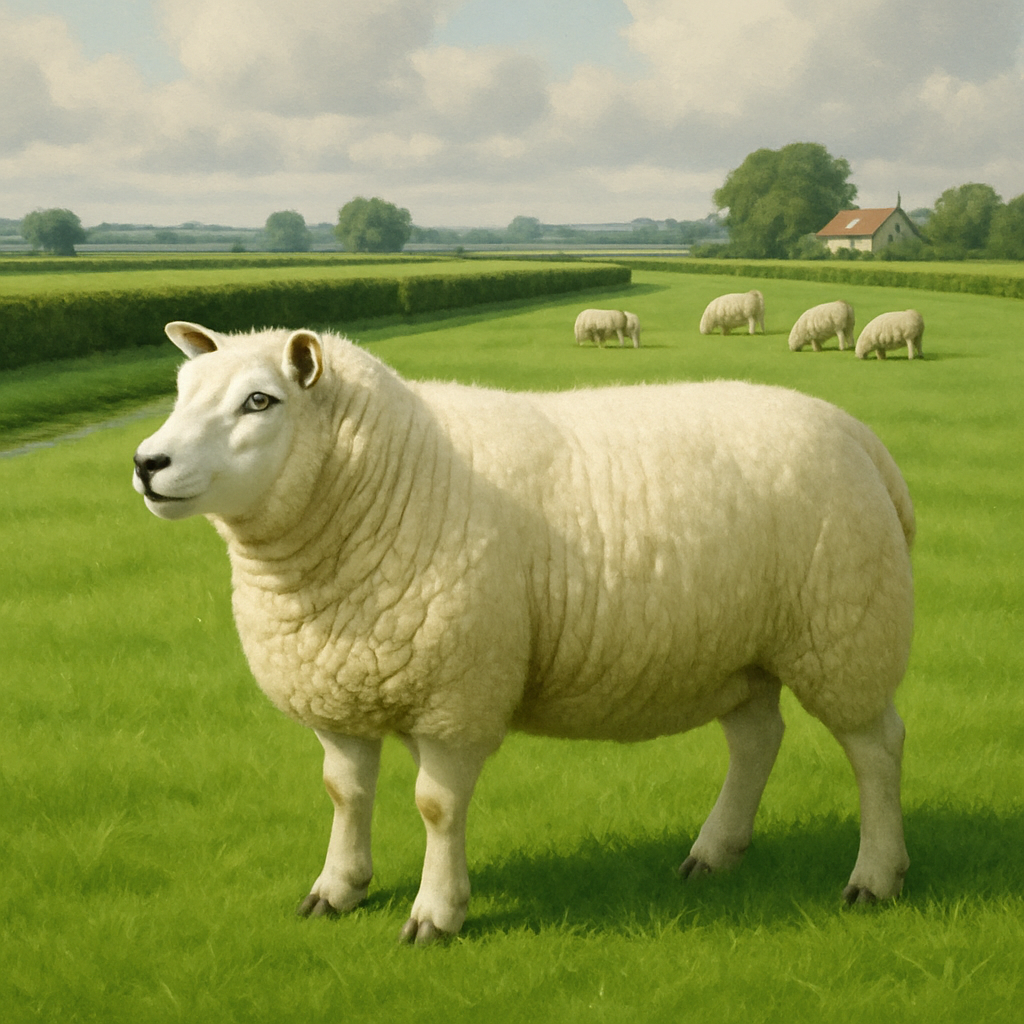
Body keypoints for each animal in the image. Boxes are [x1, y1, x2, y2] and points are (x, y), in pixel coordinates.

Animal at [133, 320, 915, 945]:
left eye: (260, 401)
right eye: (180, 390)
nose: (146, 464)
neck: (387, 476)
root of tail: (860, 436)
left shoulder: (458, 695)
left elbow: (436, 807)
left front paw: (436, 914)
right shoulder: (340, 688)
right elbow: (344, 794)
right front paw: (338, 889)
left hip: (848, 630)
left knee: (876, 749)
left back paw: (875, 875)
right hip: (740, 649)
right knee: (756, 740)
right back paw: (714, 851)